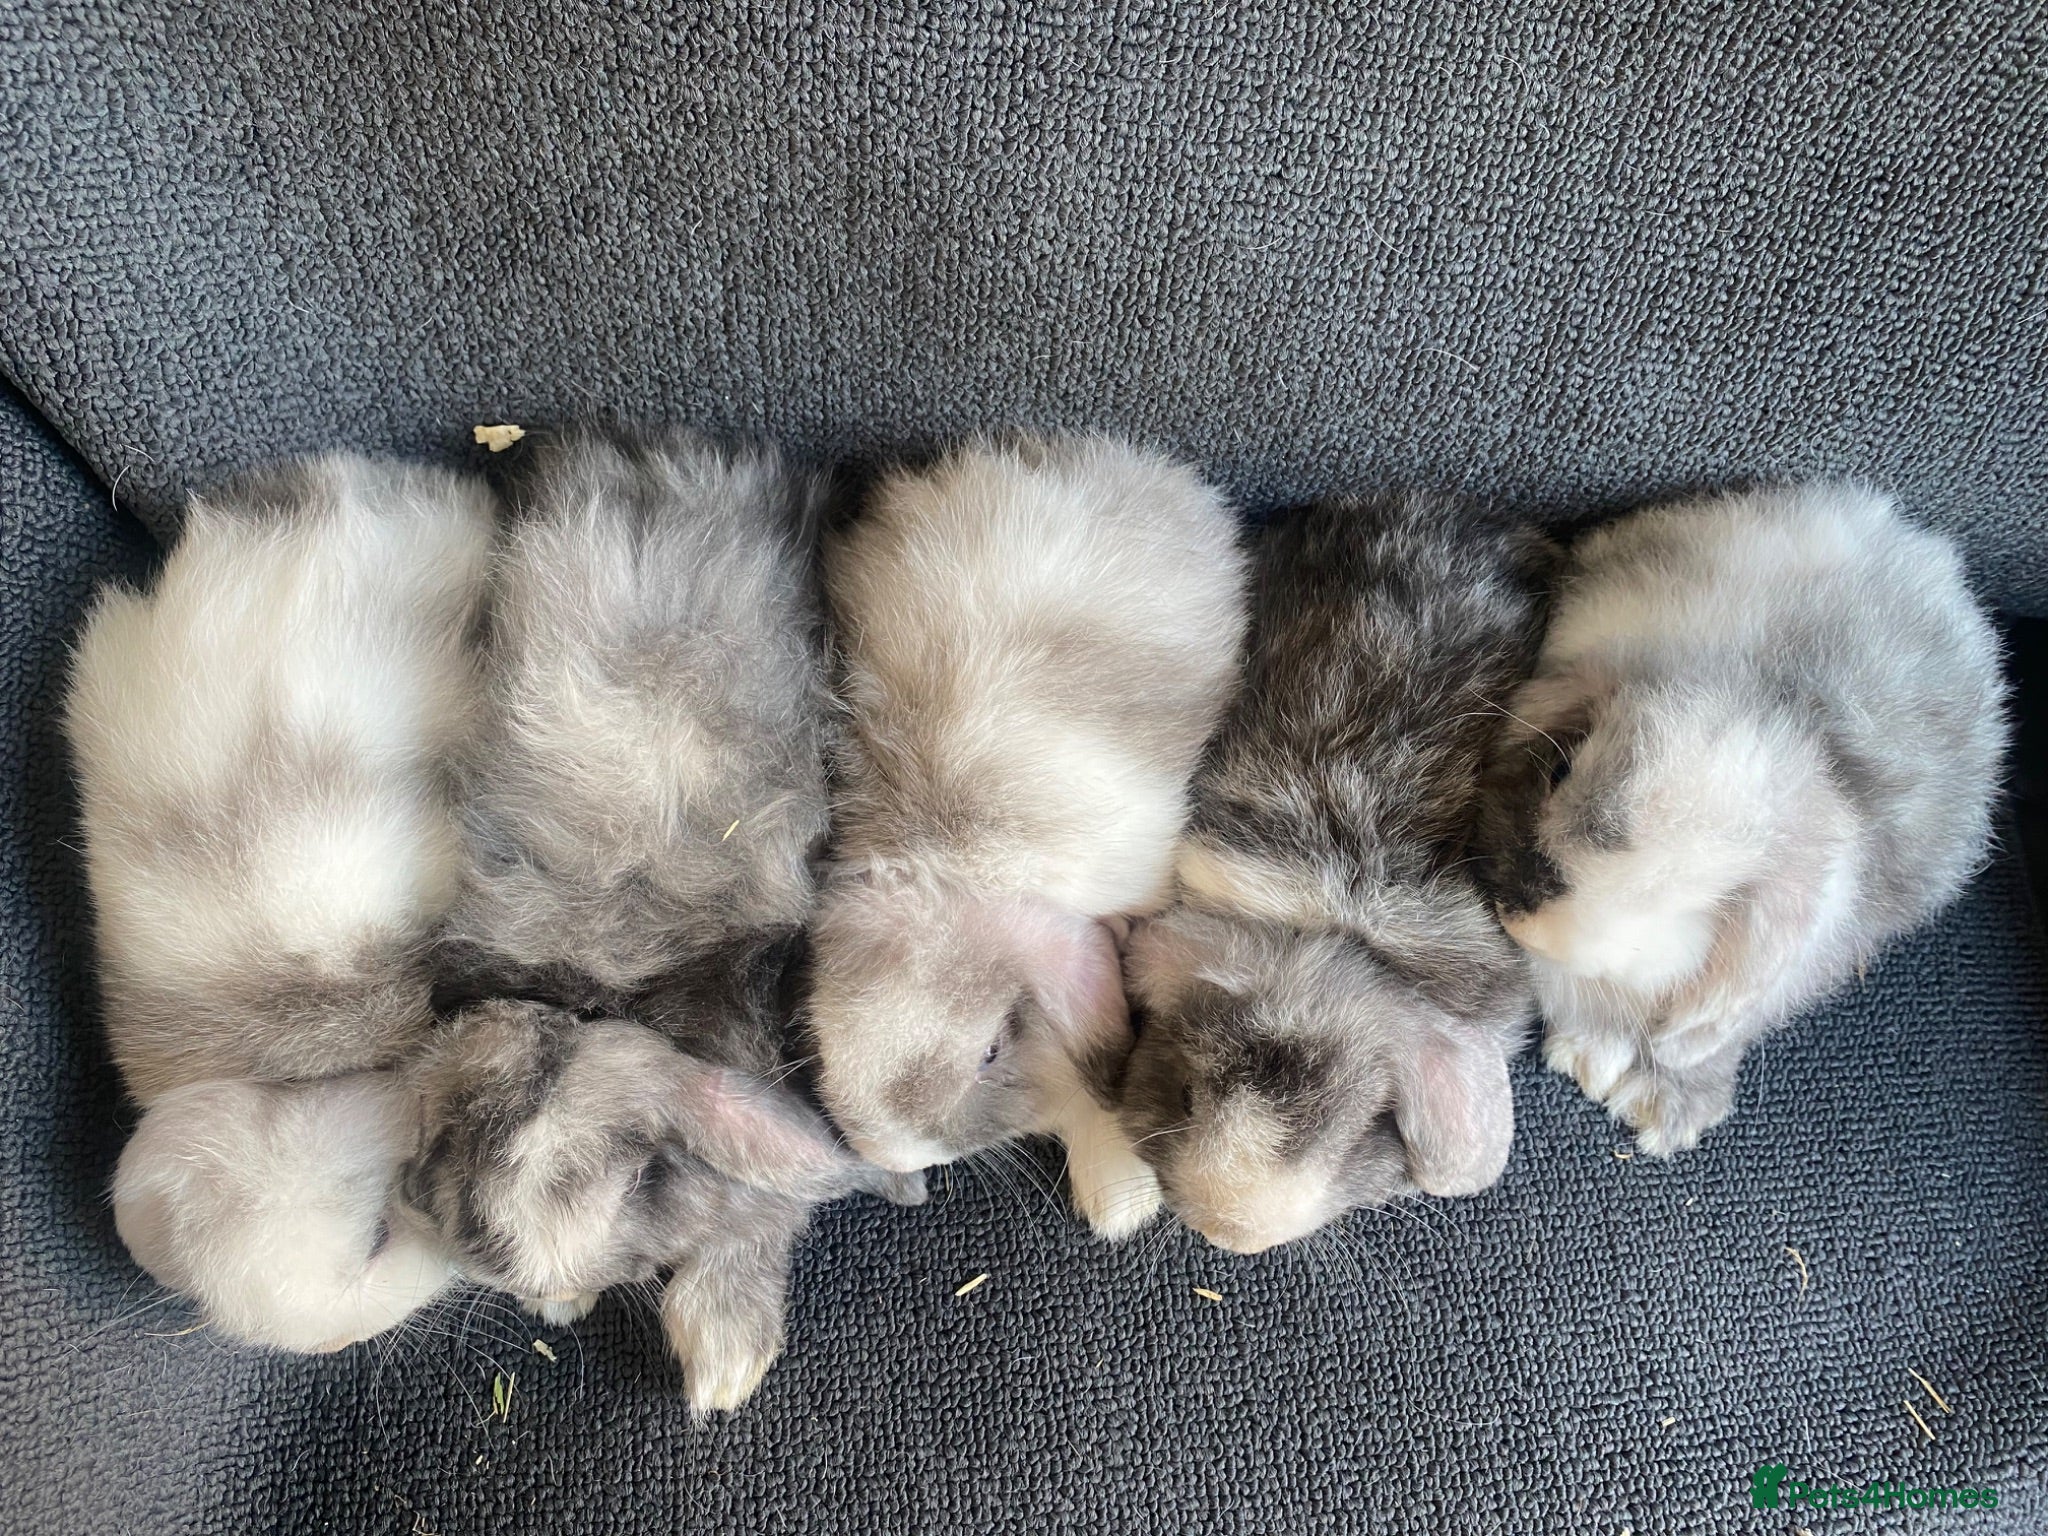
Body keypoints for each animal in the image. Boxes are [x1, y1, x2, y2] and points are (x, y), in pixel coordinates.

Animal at [1470, 482, 2006, 1156]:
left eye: (1707, 905)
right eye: (1560, 768)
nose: (1530, 926)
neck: (1772, 701)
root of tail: (1929, 554)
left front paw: (1661, 1108)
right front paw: (1589, 1057)